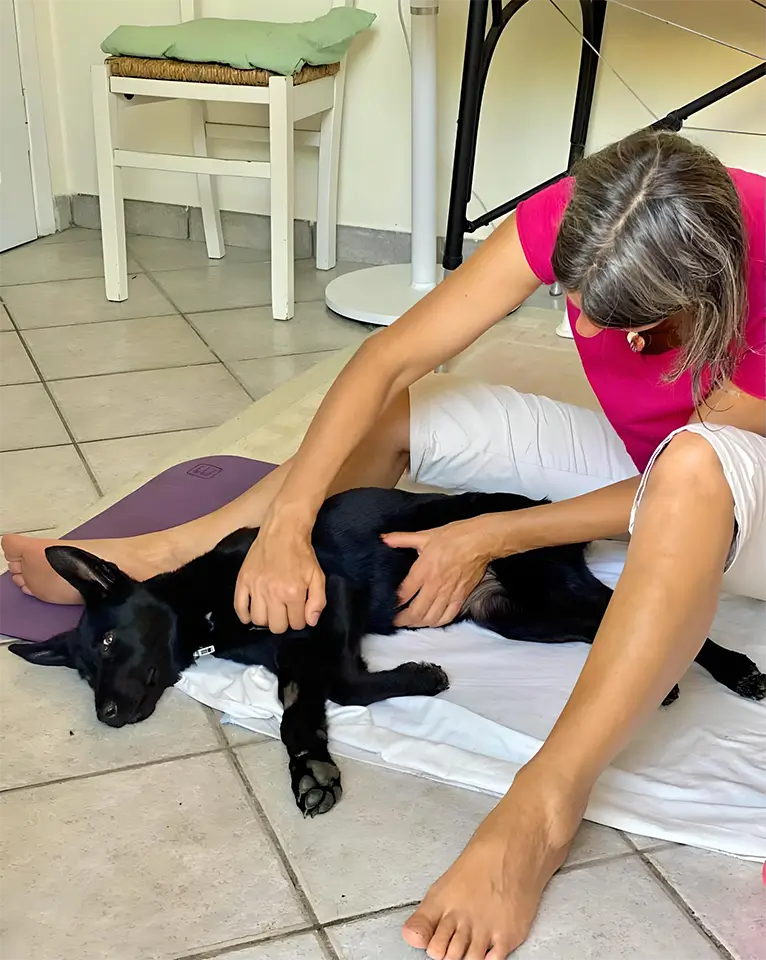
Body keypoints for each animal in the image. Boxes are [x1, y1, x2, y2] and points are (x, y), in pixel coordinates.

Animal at [10, 487, 766, 816]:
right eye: (84, 672)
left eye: (112, 640)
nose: (105, 715)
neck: (207, 603)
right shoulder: (296, 659)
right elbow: (299, 709)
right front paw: (311, 770)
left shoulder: (333, 599)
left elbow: (342, 686)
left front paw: (419, 678)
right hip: (516, 617)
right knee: (601, 629)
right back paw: (668, 685)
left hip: (540, 585)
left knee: (654, 621)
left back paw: (734, 672)